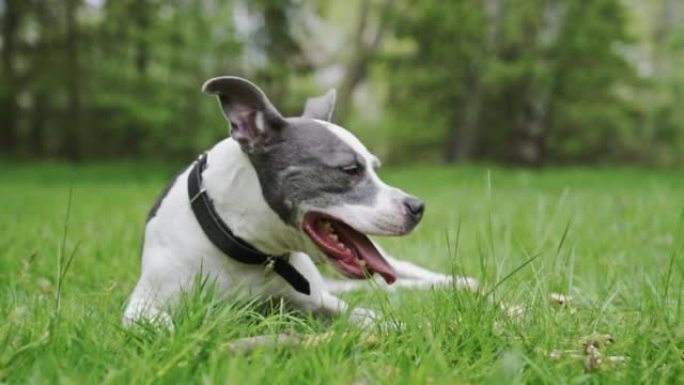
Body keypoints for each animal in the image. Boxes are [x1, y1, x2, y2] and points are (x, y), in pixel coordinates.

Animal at [123, 76, 476, 328]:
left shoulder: (320, 301)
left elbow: (373, 318)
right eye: (350, 170)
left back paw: (462, 283)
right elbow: (157, 324)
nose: (417, 207)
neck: (248, 247)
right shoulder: (144, 302)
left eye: (374, 167)